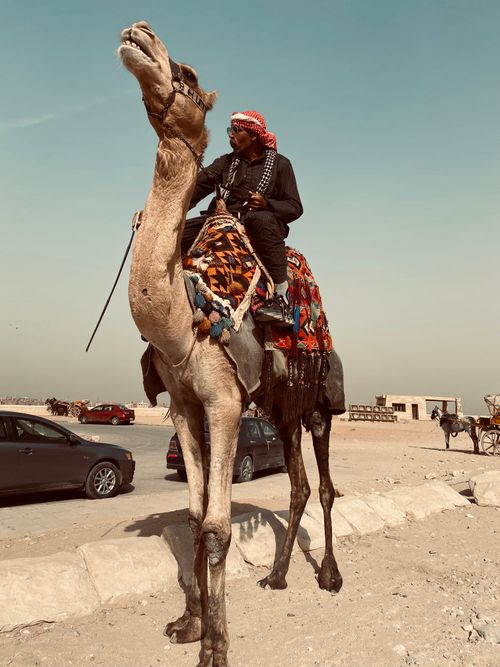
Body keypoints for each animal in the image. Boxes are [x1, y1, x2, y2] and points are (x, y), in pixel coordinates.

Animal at [119, 21, 344, 666]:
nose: (139, 33)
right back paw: (278, 576)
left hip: (319, 401)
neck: (185, 318)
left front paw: (215, 647)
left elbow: (218, 527)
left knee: (324, 485)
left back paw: (329, 577)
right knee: (296, 484)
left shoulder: (223, 400)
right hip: (281, 404)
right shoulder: (182, 404)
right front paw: (188, 623)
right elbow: (195, 516)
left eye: (189, 74)